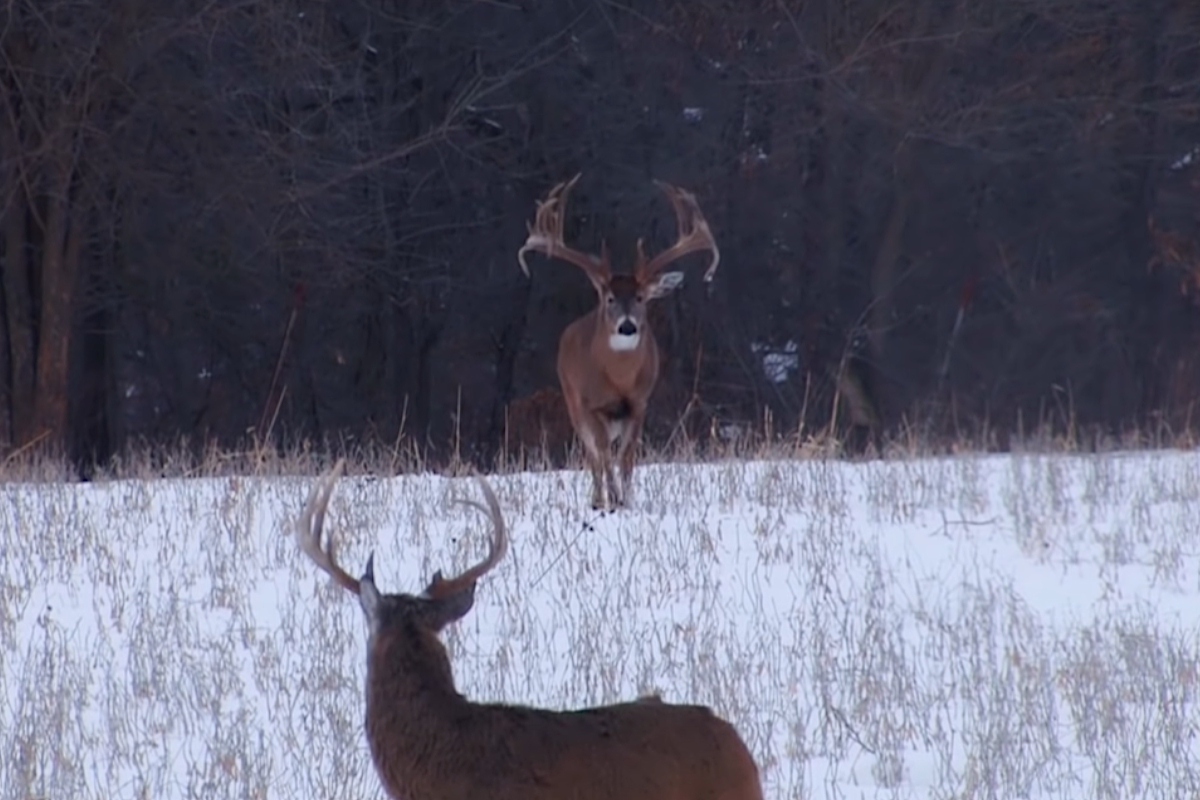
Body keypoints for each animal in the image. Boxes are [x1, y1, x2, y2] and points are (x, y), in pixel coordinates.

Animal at [518, 176, 720, 513]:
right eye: (610, 298)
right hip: (572, 403)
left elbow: (626, 457)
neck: (618, 379)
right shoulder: (590, 404)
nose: (627, 326)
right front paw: (611, 500)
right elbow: (602, 455)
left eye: (640, 297)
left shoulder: (639, 404)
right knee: (594, 457)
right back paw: (597, 500)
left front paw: (625, 500)